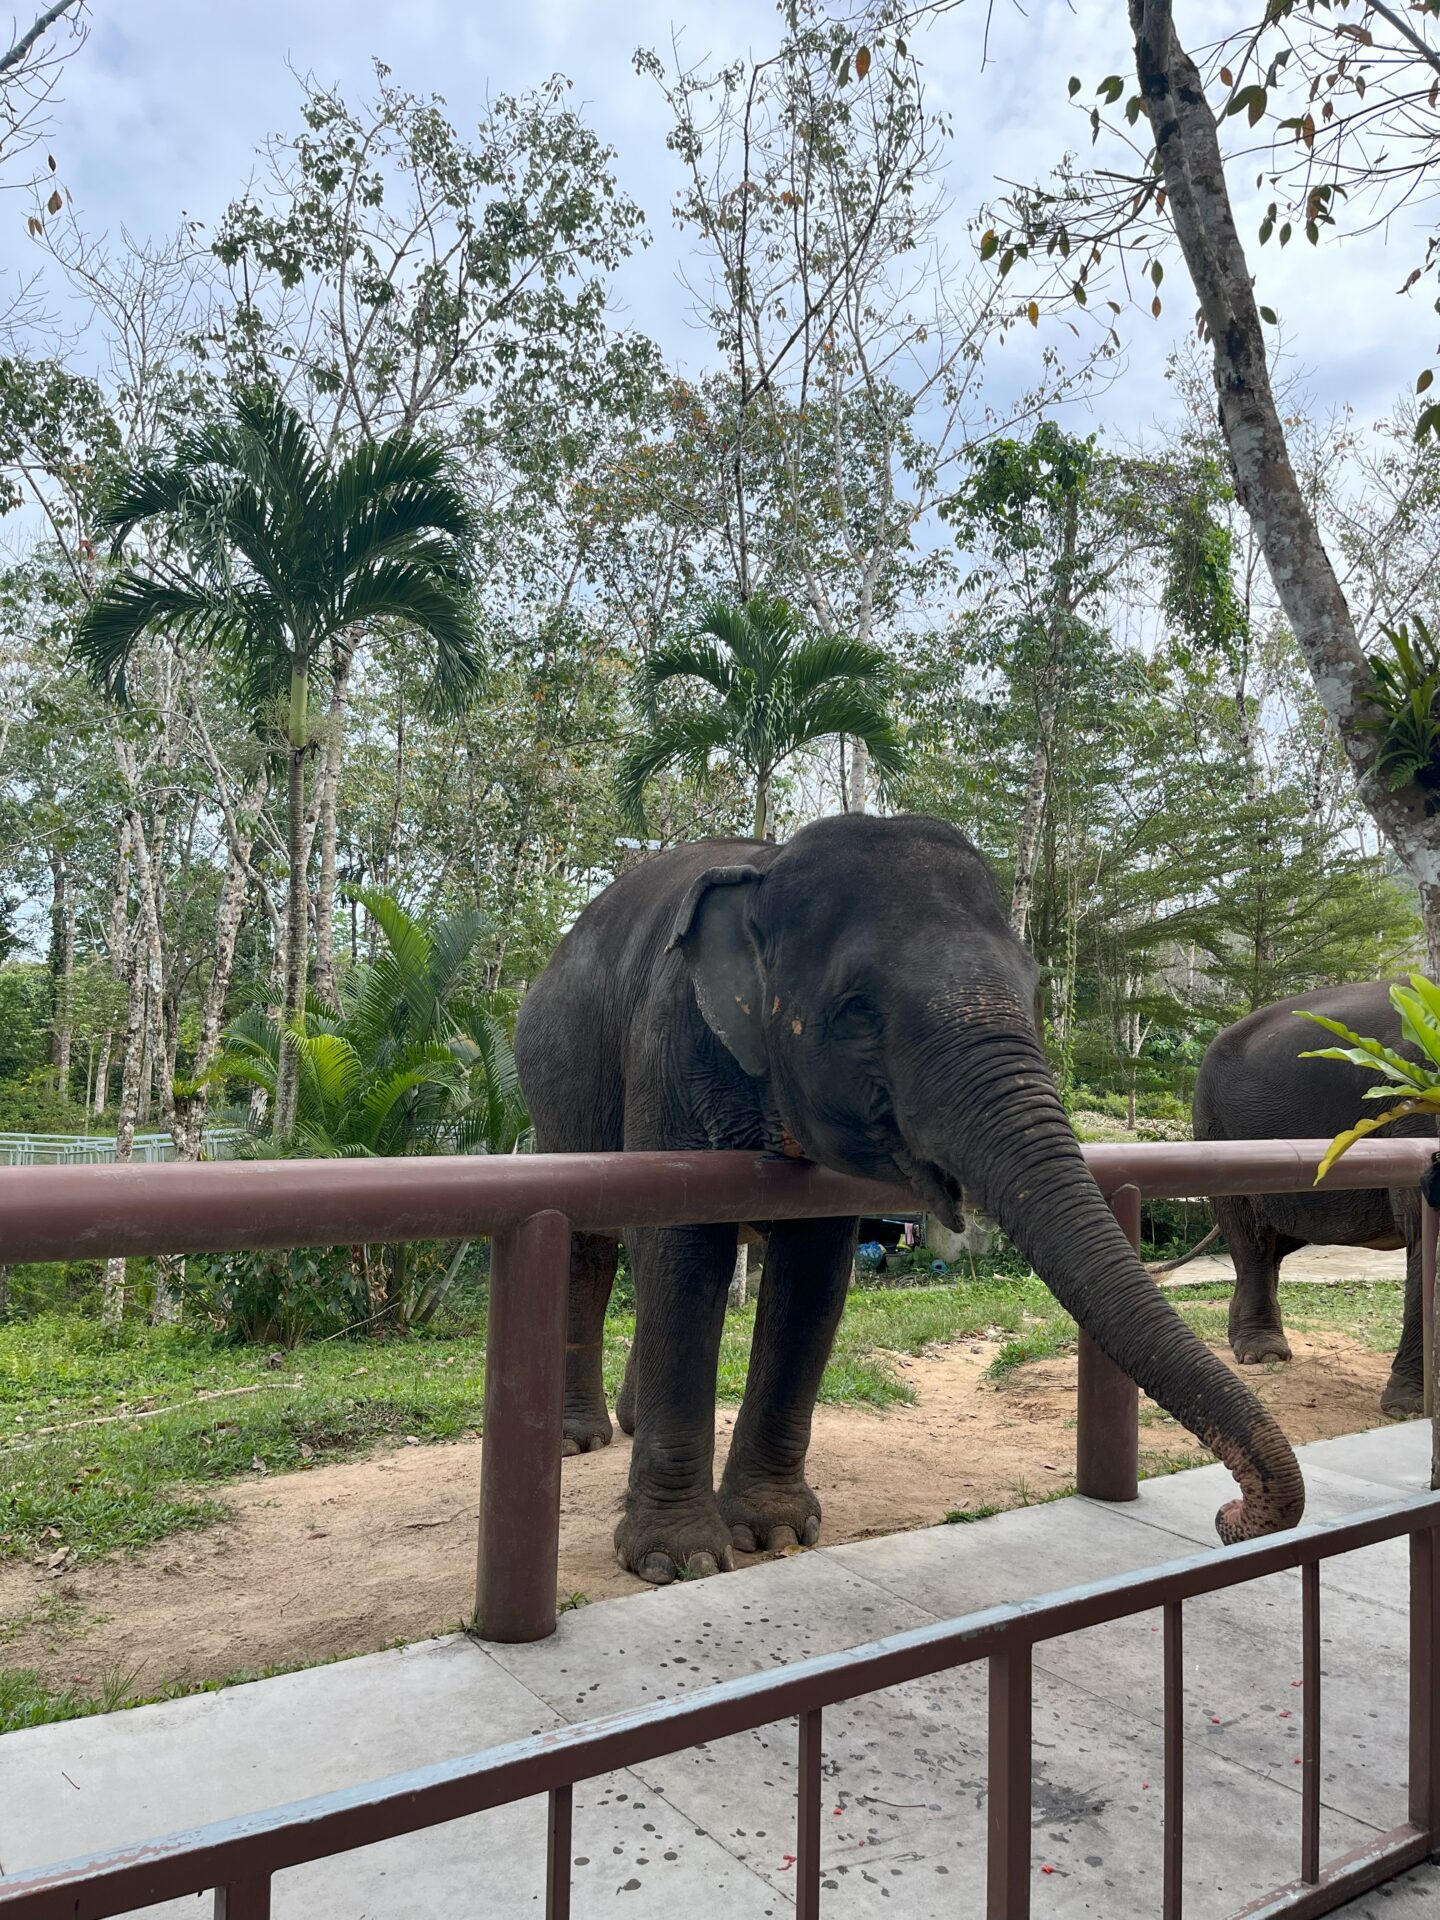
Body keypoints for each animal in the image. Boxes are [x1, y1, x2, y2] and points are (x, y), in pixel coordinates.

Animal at [514, 817, 1305, 1582]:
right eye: (858, 1012)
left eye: (1033, 986)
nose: (1230, 1515)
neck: (770, 862)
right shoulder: (671, 1048)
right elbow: (682, 1252)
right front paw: (676, 1561)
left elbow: (812, 1277)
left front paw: (773, 1533)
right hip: (556, 1089)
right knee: (594, 1251)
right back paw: (580, 1439)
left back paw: (629, 1423)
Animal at [1198, 983, 1436, 1420]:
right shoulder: (1415, 1102)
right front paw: (1407, 1409)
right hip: (1215, 1129)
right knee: (1251, 1238)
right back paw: (1263, 1355)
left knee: (1276, 1243)